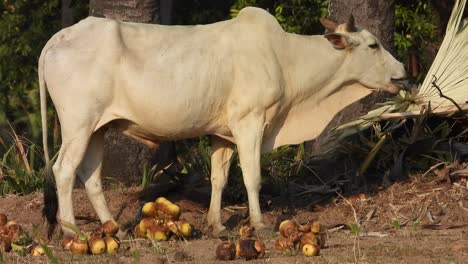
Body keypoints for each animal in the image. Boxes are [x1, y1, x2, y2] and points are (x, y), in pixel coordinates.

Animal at [40, 6, 406, 237]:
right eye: (373, 44)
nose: (402, 71)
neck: (285, 58)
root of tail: (60, 37)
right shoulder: (250, 121)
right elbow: (252, 178)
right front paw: (260, 225)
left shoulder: (223, 133)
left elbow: (219, 179)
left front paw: (216, 226)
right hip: (78, 124)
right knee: (64, 170)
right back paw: (73, 231)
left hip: (98, 128)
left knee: (90, 176)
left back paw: (111, 229)